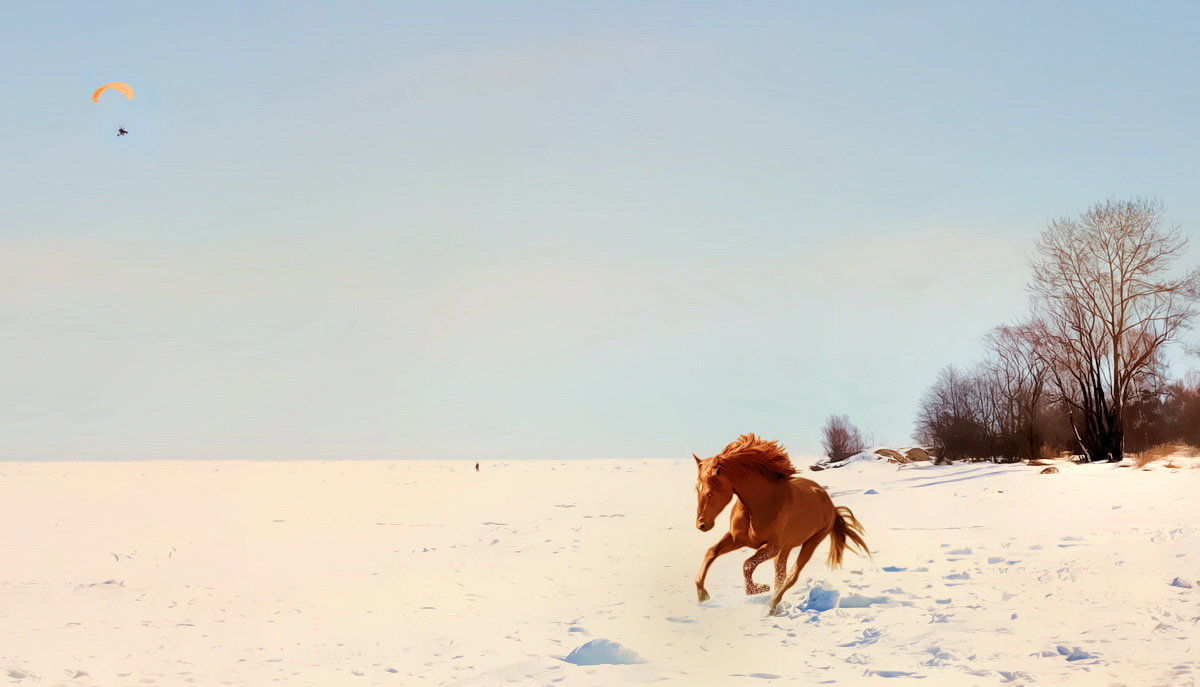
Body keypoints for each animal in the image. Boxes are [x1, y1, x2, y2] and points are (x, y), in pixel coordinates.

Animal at [696, 432, 873, 614]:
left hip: (811, 542)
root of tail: (830, 505)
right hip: (785, 548)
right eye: (697, 488)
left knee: (791, 576)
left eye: (710, 493)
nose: (701, 525)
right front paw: (702, 595)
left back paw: (771, 607)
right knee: (781, 576)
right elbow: (711, 552)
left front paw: (759, 588)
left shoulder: (772, 547)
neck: (759, 503)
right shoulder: (737, 539)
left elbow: (747, 564)